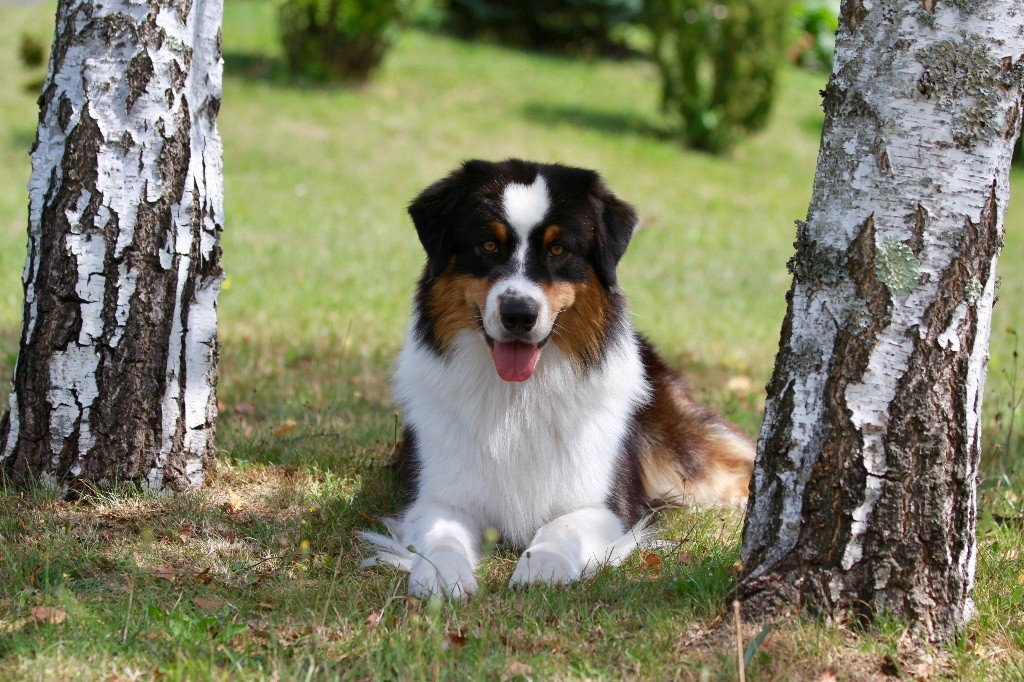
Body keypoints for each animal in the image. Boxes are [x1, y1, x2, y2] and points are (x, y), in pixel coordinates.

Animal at [359, 159, 755, 598]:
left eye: (559, 250)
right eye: (488, 245)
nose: (518, 314)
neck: (517, 397)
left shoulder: (605, 504)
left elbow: (560, 525)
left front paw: (542, 565)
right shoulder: (436, 497)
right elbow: (442, 534)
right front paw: (442, 575)